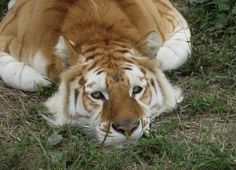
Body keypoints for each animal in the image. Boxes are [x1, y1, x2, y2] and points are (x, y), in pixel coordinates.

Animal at [0, 0, 190, 147]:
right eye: (97, 95)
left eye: (136, 90)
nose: (127, 128)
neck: (99, 32)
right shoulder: (8, 31)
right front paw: (39, 80)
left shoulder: (168, 14)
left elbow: (173, 55)